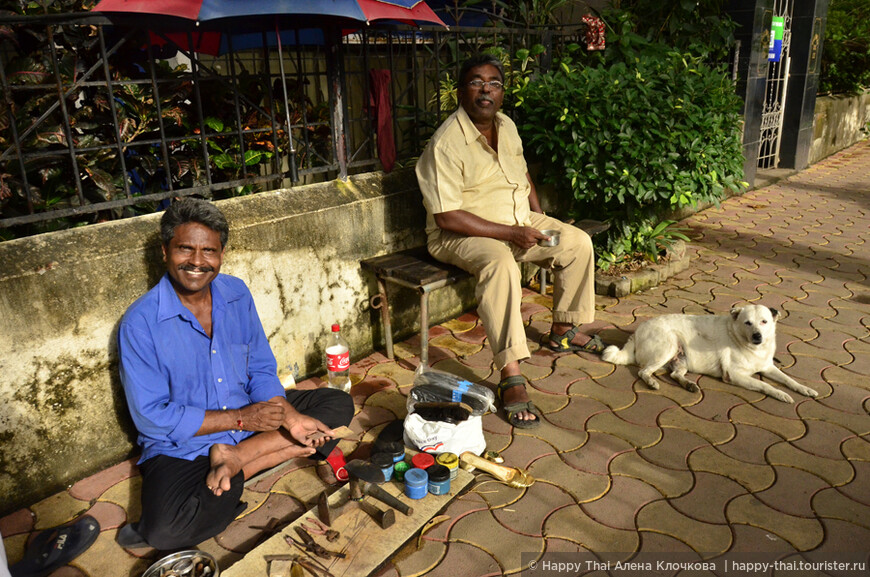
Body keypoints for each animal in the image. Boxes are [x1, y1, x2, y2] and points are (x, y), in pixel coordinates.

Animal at [604, 304, 820, 402]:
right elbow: (764, 385)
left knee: (674, 374)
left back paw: (689, 385)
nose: (757, 336)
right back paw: (652, 382)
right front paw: (781, 394)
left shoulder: (768, 367)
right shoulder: (734, 375)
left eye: (764, 321)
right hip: (669, 345)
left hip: (682, 358)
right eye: (748, 323)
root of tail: (636, 332)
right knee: (643, 371)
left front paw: (804, 389)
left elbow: (789, 380)